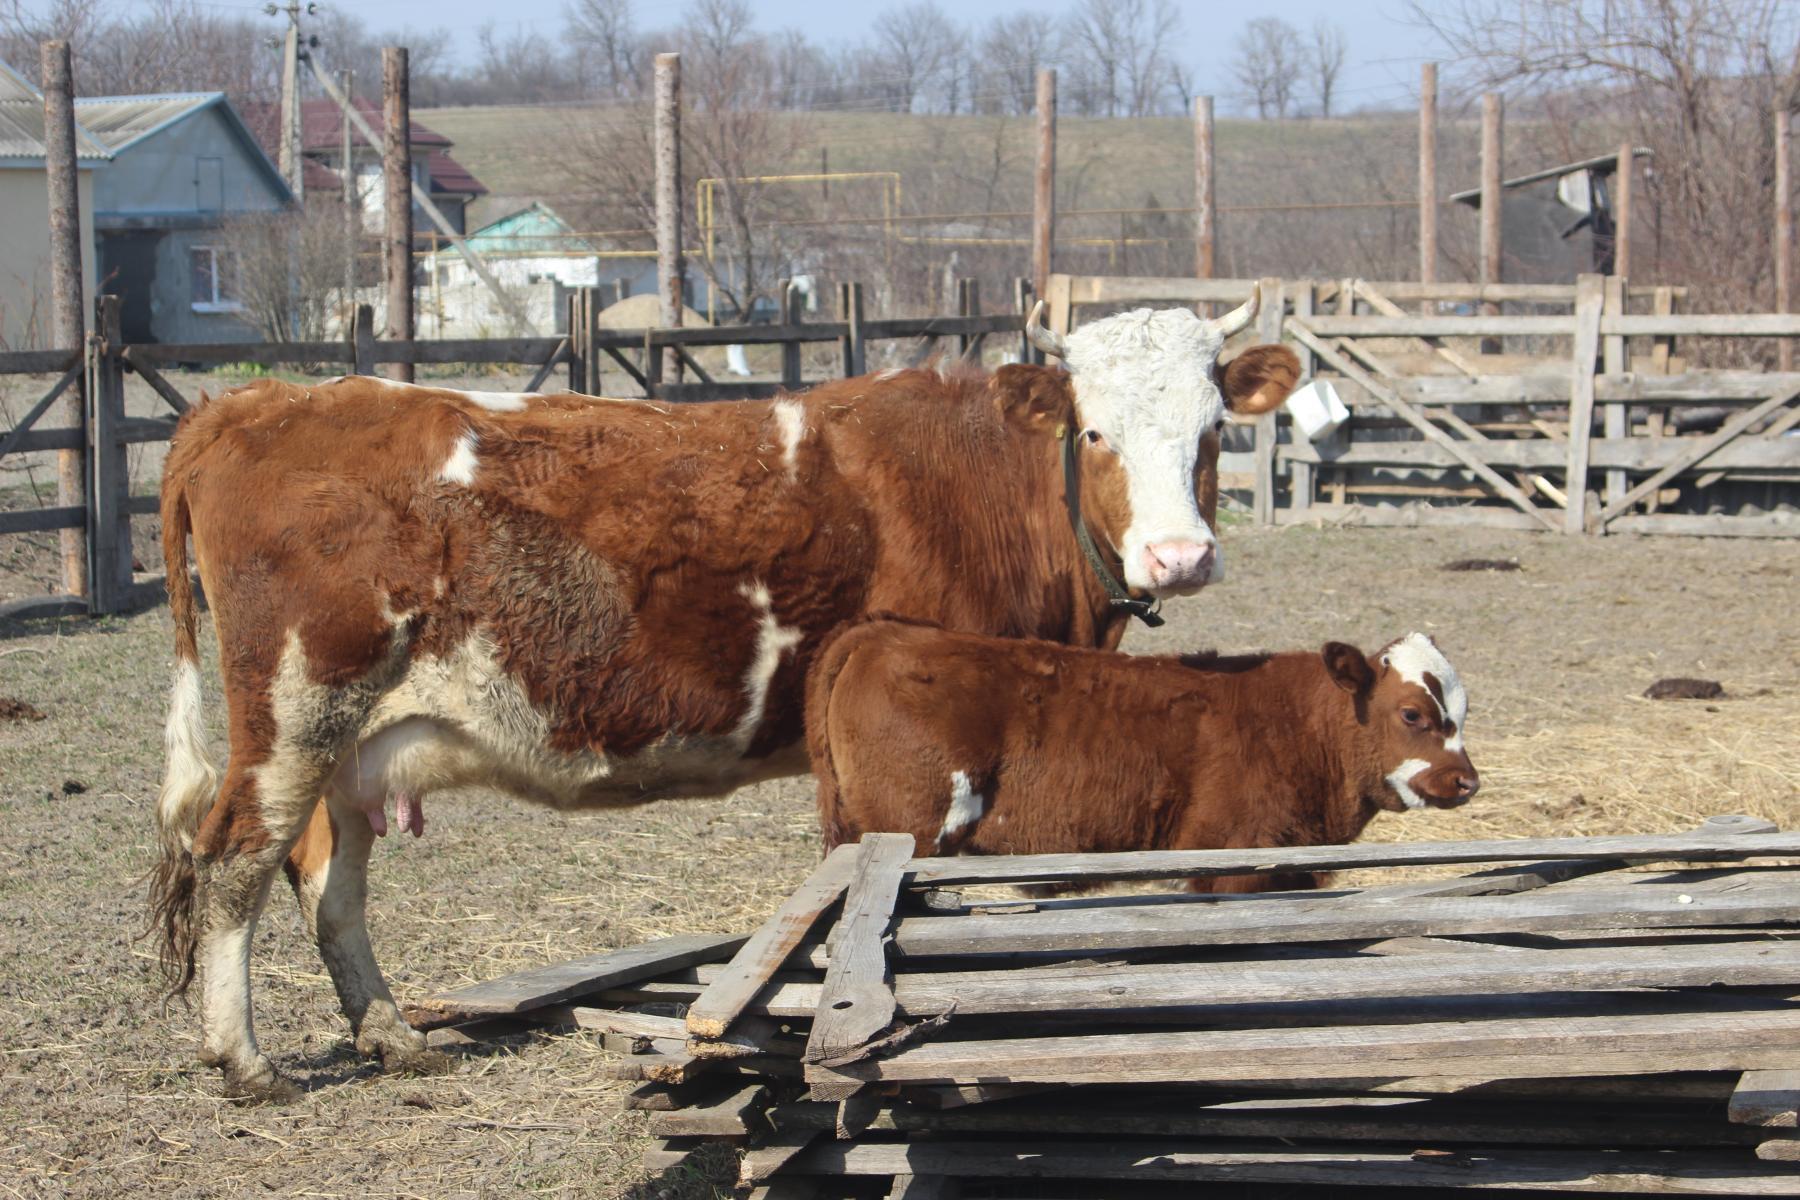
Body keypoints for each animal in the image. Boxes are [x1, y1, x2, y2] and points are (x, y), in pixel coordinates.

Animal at [151, 298, 1296, 1101]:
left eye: (1212, 429)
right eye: (1096, 432)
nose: (1180, 555)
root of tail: (254, 402)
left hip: (351, 746)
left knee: (327, 882)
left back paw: (389, 1034)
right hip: (297, 709)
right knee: (236, 863)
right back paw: (244, 1061)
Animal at [813, 618, 1476, 892]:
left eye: (1463, 711)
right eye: (1412, 714)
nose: (1466, 781)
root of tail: (885, 634)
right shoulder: (1233, 860)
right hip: (909, 832)